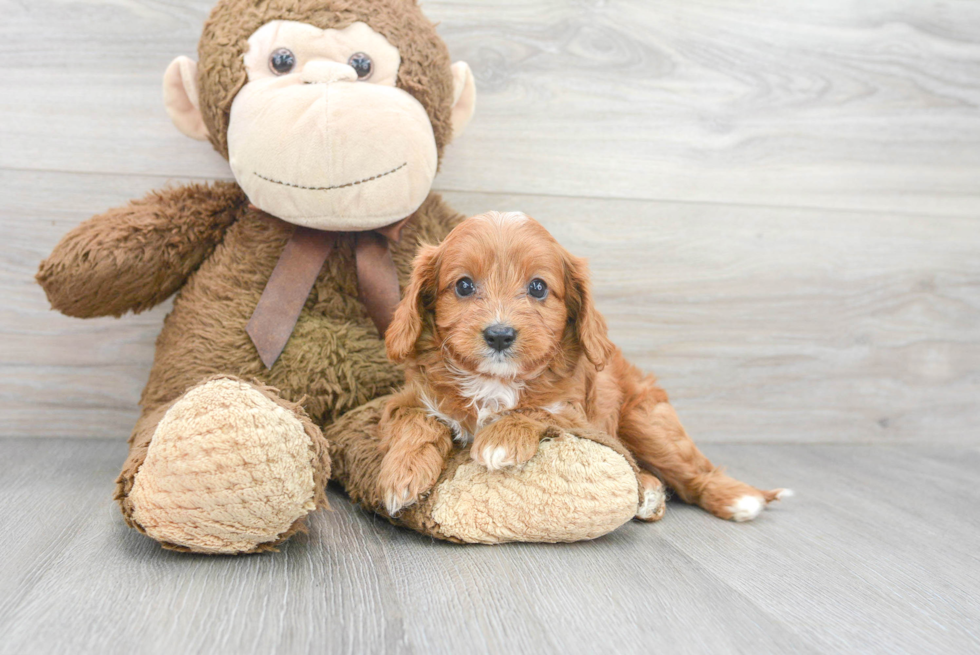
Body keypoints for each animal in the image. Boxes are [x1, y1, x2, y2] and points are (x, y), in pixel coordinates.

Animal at [376, 214, 788, 524]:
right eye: (463, 286)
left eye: (538, 287)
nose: (499, 335)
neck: (496, 381)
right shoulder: (409, 398)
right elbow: (417, 421)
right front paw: (401, 476)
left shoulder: (577, 415)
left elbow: (538, 409)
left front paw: (501, 438)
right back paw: (650, 492)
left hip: (645, 420)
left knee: (694, 472)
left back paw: (737, 500)